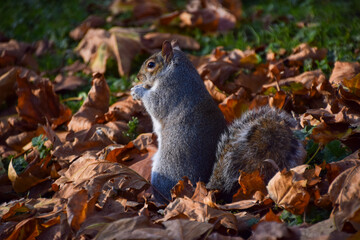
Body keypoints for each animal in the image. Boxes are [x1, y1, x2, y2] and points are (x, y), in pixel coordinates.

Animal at [131, 41, 306, 202]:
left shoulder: (169, 91)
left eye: (151, 65)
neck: (175, 69)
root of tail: (201, 188)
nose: (138, 77)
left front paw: (138, 90)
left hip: (165, 170)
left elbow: (155, 104)